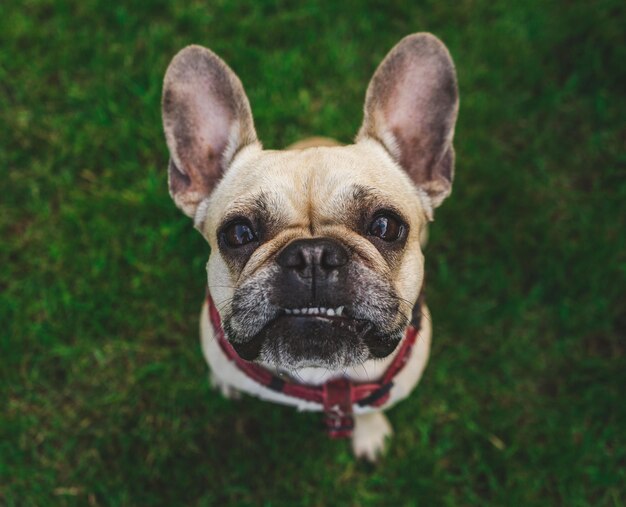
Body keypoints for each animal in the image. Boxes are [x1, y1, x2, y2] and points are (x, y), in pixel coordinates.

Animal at [158, 31, 456, 460]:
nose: (312, 255)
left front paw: (368, 433)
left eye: (386, 226)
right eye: (238, 233)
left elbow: (369, 408)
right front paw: (225, 380)